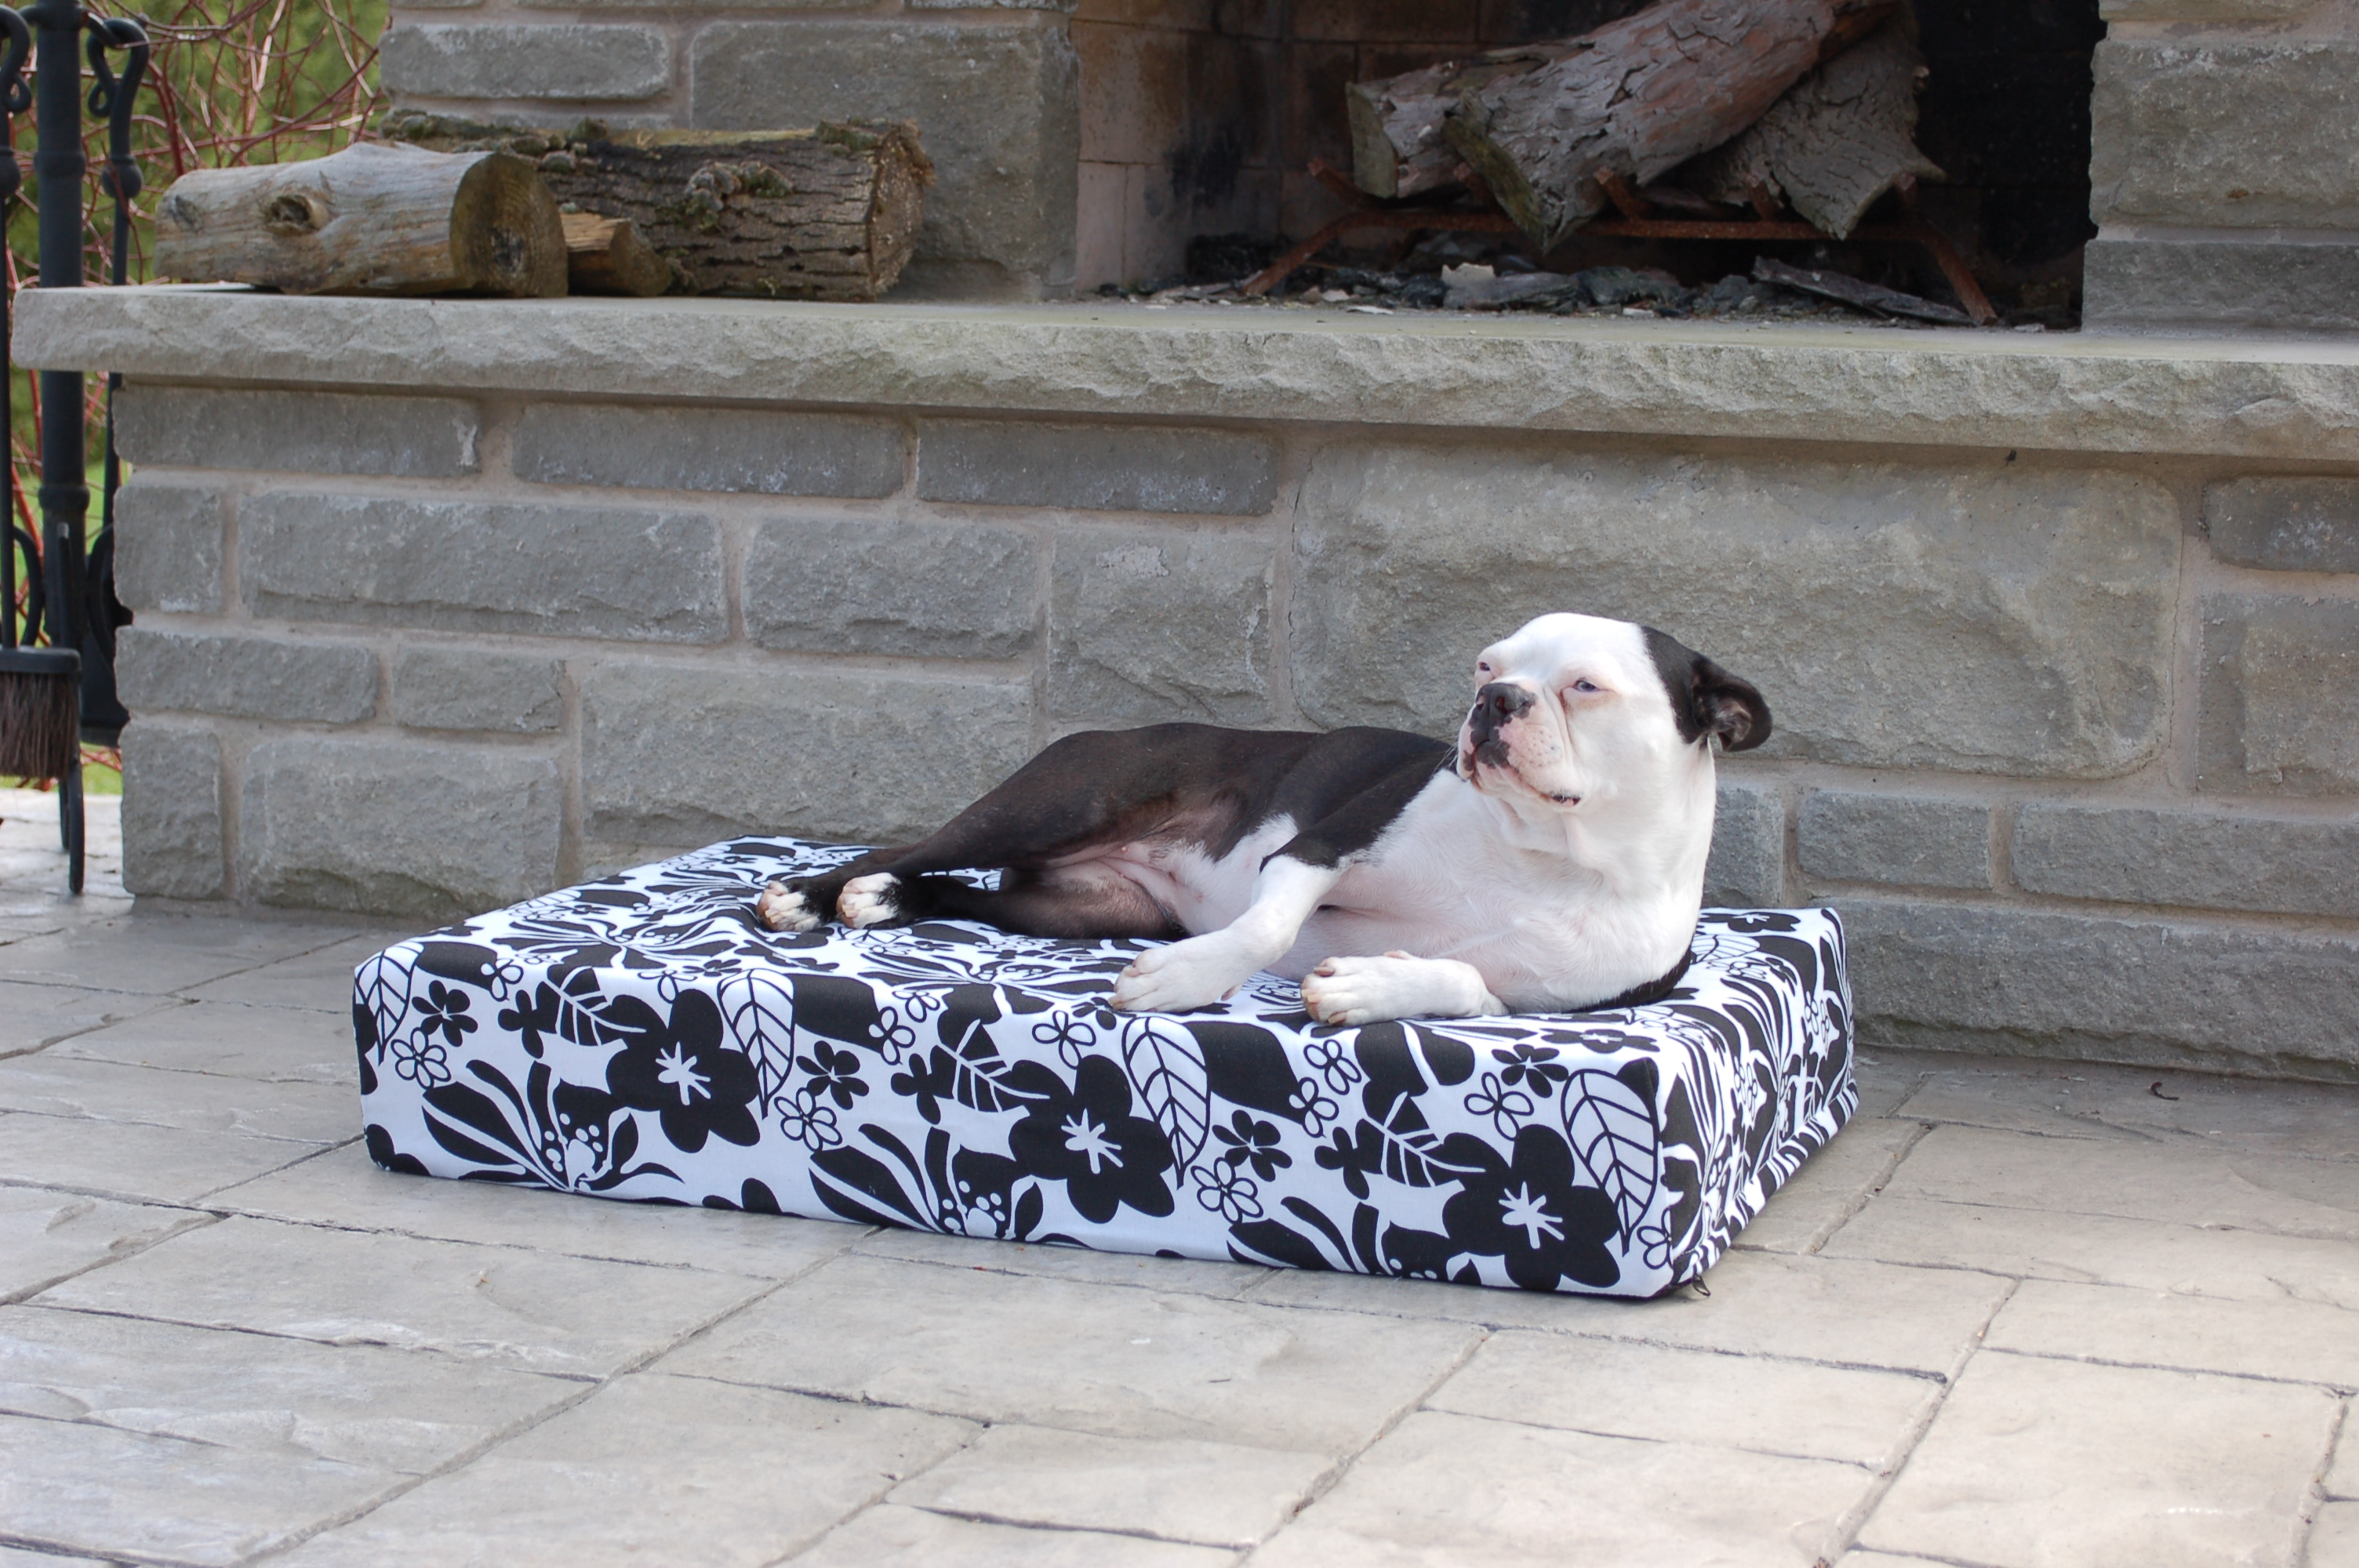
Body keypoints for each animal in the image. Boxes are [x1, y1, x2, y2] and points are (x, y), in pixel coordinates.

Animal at [755, 612, 1769, 1025]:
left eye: (1585, 687)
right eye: (1486, 665)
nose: (1495, 702)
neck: (1543, 852)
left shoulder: (1556, 998)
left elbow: (1464, 980)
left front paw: (1369, 987)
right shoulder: (1315, 847)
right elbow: (1263, 925)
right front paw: (1182, 979)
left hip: (1082, 906)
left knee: (964, 892)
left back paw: (884, 899)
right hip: (1059, 799)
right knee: (910, 845)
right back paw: (810, 895)